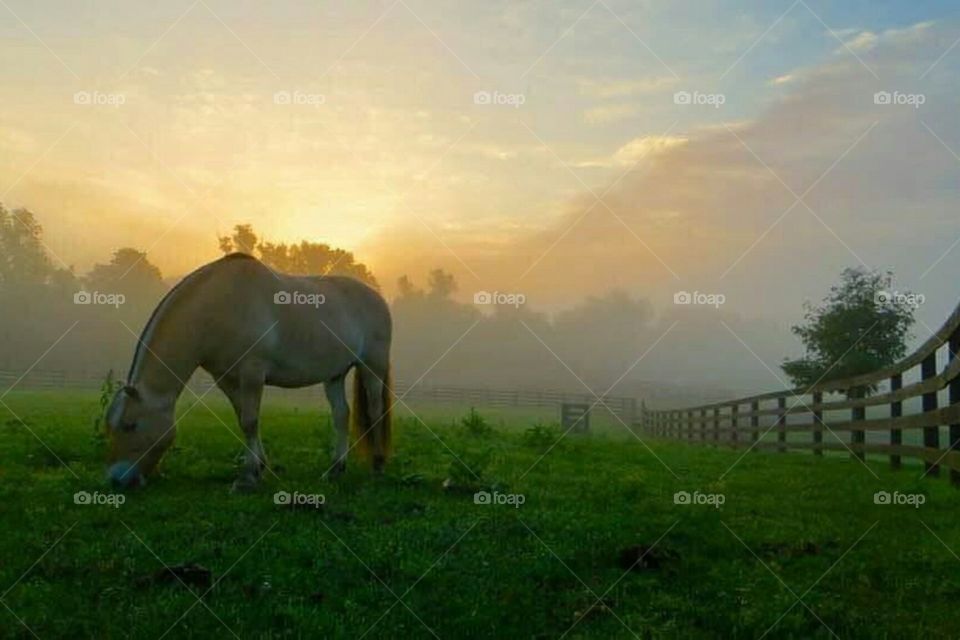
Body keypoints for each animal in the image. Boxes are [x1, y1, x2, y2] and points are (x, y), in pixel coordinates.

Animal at [105, 253, 392, 490]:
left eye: (130, 425)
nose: (116, 479)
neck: (220, 307)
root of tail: (378, 298)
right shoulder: (227, 378)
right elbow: (243, 418)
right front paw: (258, 467)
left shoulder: (252, 373)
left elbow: (250, 421)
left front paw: (248, 477)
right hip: (334, 374)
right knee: (341, 415)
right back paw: (335, 469)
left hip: (372, 366)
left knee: (375, 411)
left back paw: (378, 466)